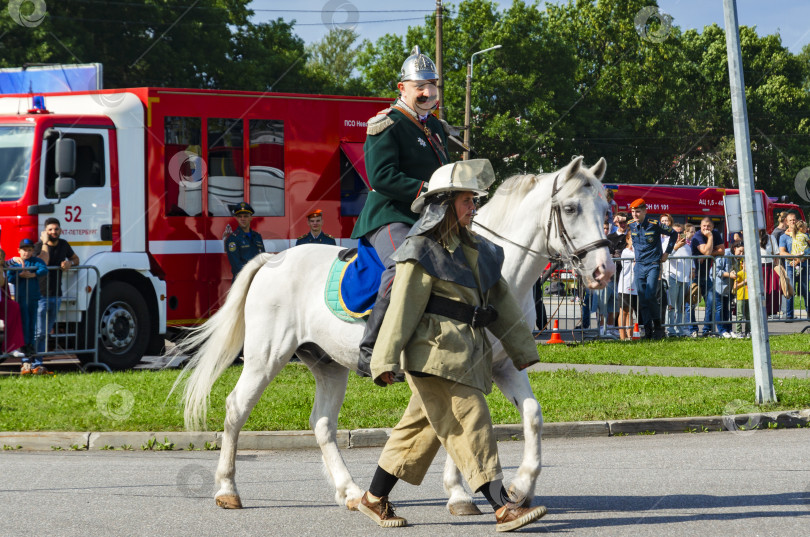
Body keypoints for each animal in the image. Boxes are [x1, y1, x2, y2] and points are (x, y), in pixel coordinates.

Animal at [172, 154, 612, 510]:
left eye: (606, 208)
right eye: (570, 207)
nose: (604, 270)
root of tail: (272, 258)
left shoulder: (499, 368)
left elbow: (530, 416)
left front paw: (519, 487)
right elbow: (454, 426)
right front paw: (461, 494)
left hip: (328, 364)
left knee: (322, 423)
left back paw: (350, 492)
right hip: (266, 357)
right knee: (235, 408)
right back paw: (227, 489)